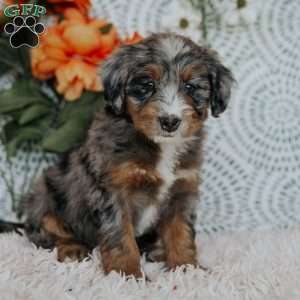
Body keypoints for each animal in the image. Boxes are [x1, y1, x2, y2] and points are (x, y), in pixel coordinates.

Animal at [20, 32, 234, 276]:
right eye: (148, 84)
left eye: (190, 87)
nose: (170, 121)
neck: (161, 145)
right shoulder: (114, 190)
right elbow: (120, 237)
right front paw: (126, 274)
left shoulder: (182, 190)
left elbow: (181, 232)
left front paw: (187, 268)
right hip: (45, 197)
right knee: (49, 231)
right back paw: (72, 249)